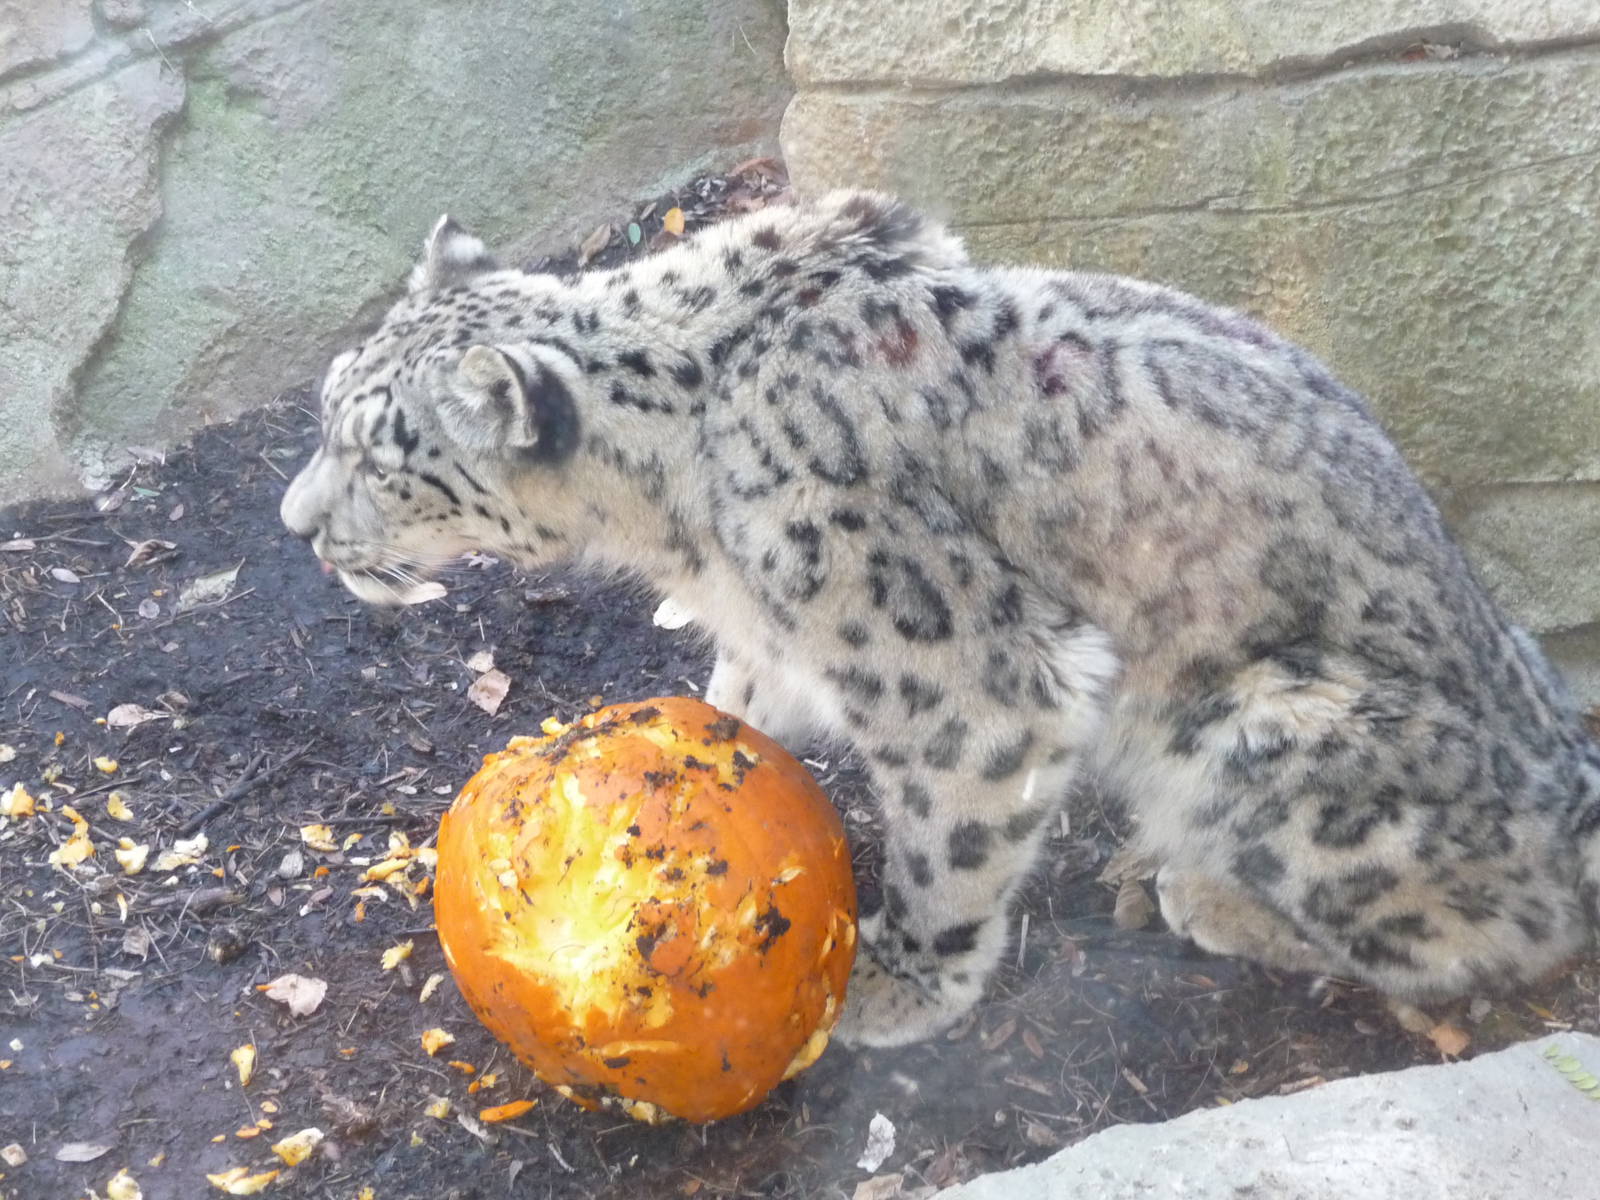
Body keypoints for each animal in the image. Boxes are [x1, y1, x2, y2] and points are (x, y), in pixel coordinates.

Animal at [281, 189, 1600, 1047]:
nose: (296, 525)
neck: (682, 507)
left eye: (382, 459)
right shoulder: (769, 624)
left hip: (1270, 732)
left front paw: (893, 989)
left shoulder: (968, 682)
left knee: (1477, 937)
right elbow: (739, 700)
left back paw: (1201, 891)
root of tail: (1568, 769)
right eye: (328, 402)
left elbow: (949, 845)